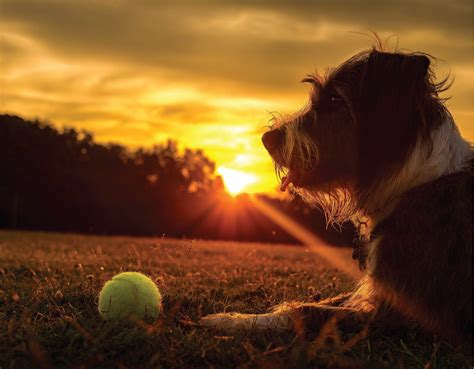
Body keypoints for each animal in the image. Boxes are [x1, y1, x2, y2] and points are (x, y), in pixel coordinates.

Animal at [199, 46, 470, 344]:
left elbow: (309, 311)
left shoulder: (407, 316)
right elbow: (328, 300)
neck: (413, 182)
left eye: (334, 98)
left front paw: (234, 321)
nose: (267, 139)